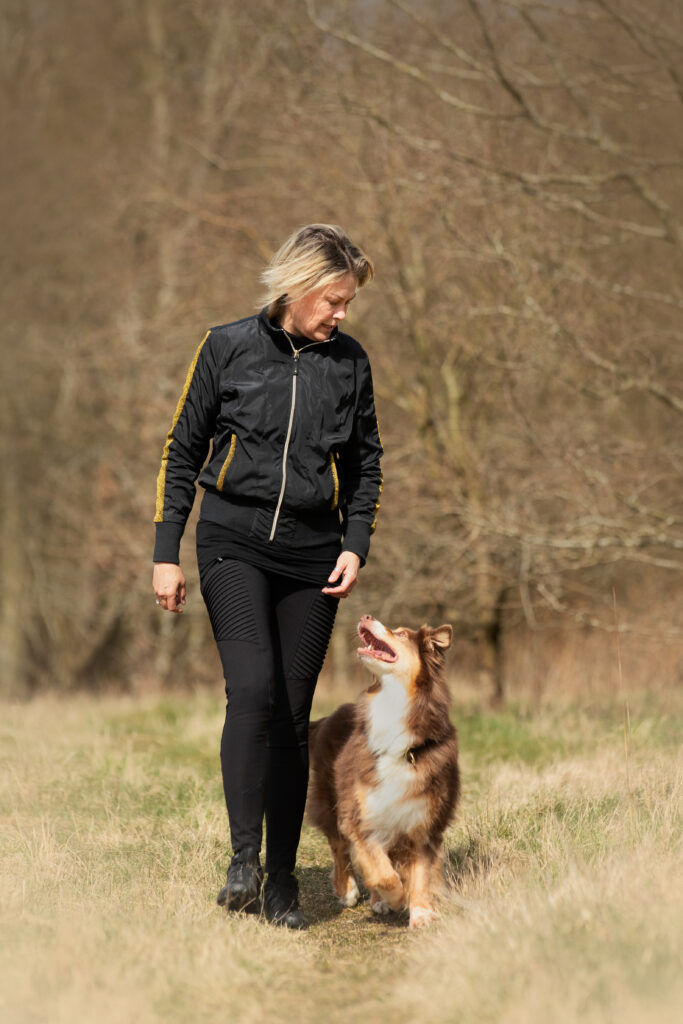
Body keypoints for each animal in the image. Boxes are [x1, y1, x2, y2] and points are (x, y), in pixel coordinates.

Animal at [309, 610, 458, 933]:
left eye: (401, 634)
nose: (366, 615)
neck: (393, 701)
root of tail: (327, 717)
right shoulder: (360, 815)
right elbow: (382, 872)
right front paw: (396, 897)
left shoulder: (424, 821)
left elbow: (419, 874)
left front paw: (421, 912)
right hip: (330, 800)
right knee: (339, 847)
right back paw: (349, 890)